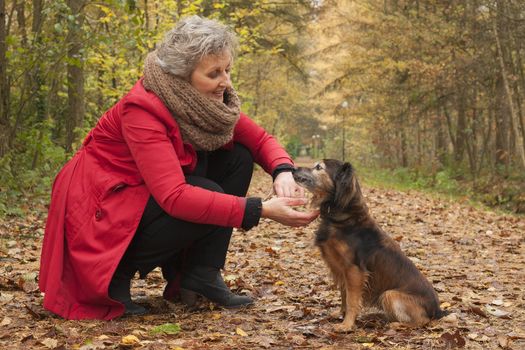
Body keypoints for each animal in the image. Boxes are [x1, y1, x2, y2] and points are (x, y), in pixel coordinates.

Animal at [292, 160, 444, 332]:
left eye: (318, 167)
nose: (292, 168)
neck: (343, 218)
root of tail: (437, 310)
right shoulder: (341, 269)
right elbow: (344, 294)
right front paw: (341, 314)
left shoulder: (354, 270)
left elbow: (352, 300)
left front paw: (346, 324)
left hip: (390, 295)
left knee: (422, 321)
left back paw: (396, 324)